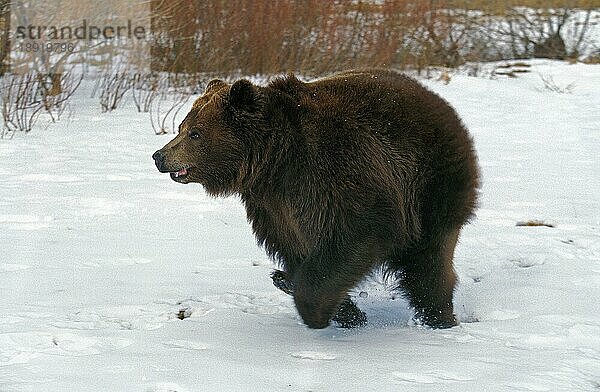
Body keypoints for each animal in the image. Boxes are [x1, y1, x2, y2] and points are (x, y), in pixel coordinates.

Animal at [154, 69, 478, 330]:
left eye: (195, 133)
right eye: (182, 127)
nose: (159, 156)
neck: (274, 161)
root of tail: (444, 107)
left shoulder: (335, 171)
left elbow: (359, 230)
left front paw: (316, 308)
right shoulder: (274, 206)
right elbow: (295, 245)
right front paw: (343, 309)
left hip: (430, 186)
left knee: (428, 263)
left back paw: (437, 317)